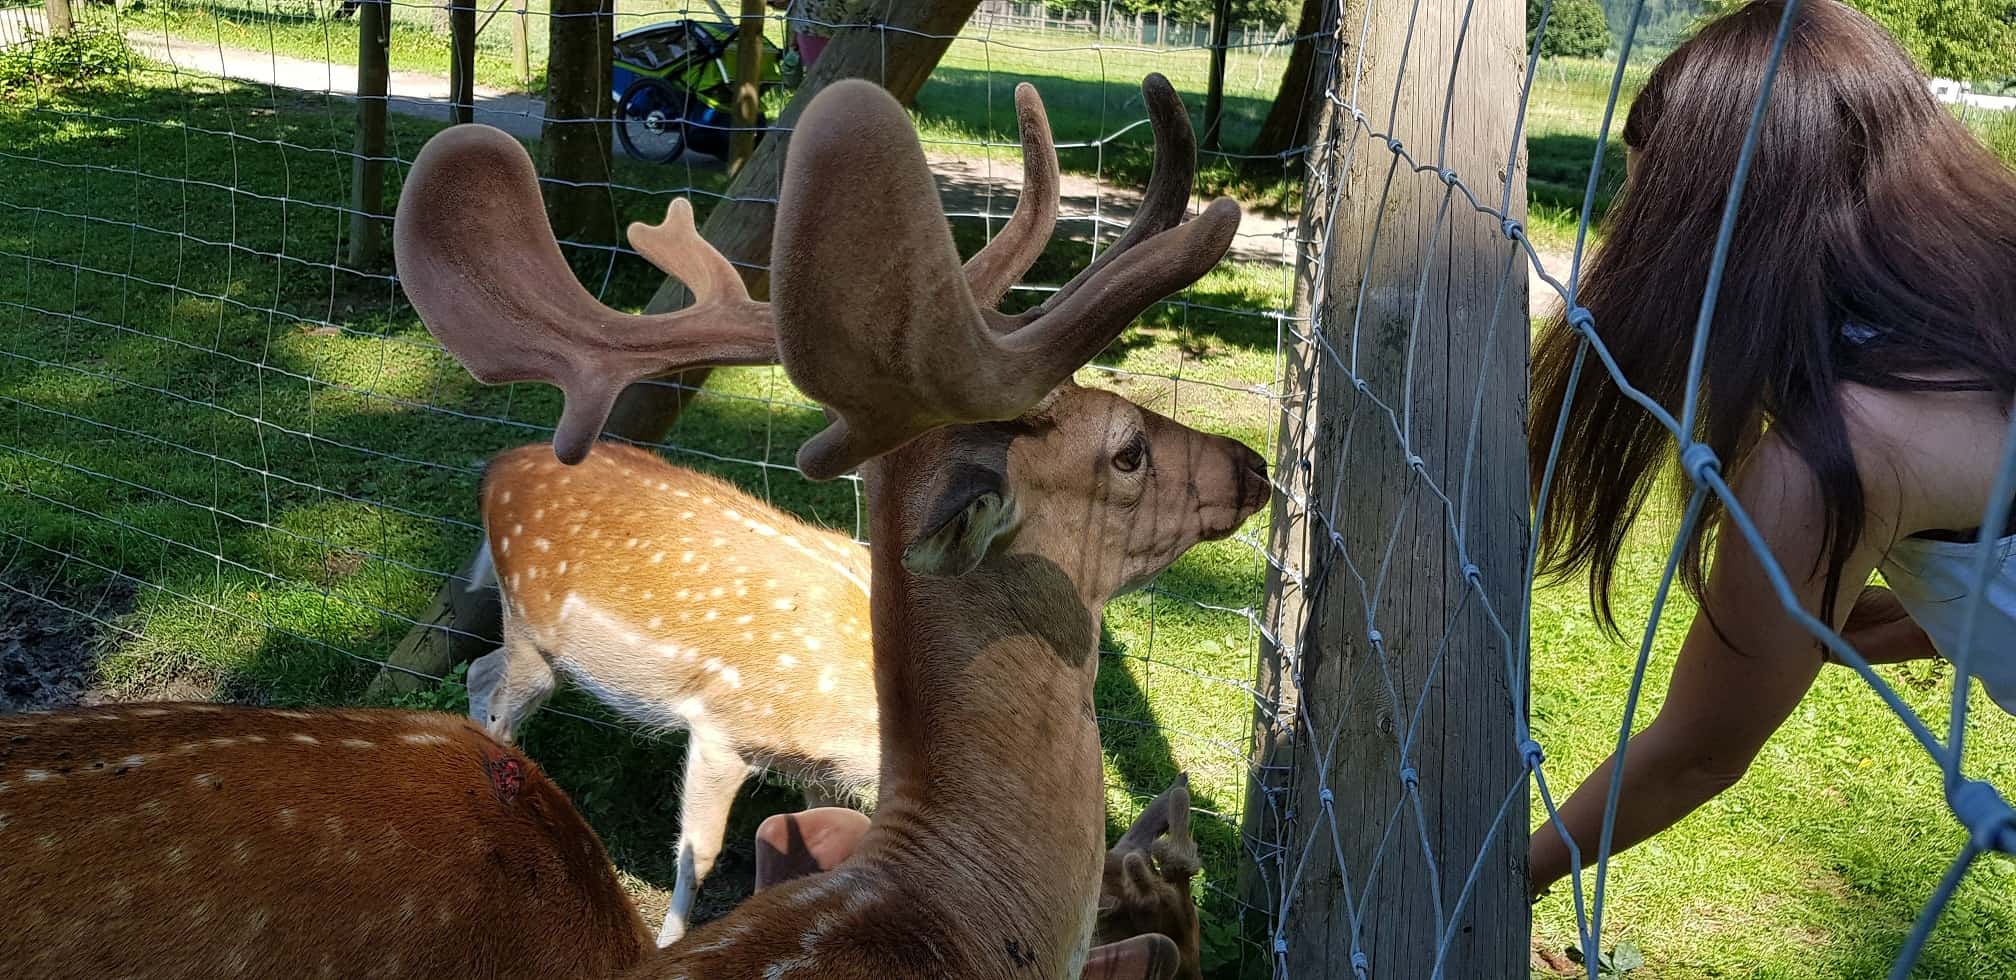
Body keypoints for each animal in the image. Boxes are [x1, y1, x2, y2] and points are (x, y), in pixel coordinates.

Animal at [393, 63, 1257, 980]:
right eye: (1128, 450)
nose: (1254, 465)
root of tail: (497, 466)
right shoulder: (723, 724)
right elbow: (696, 855)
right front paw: (667, 934)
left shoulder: (815, 773)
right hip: (535, 629)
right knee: (498, 693)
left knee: (480, 677)